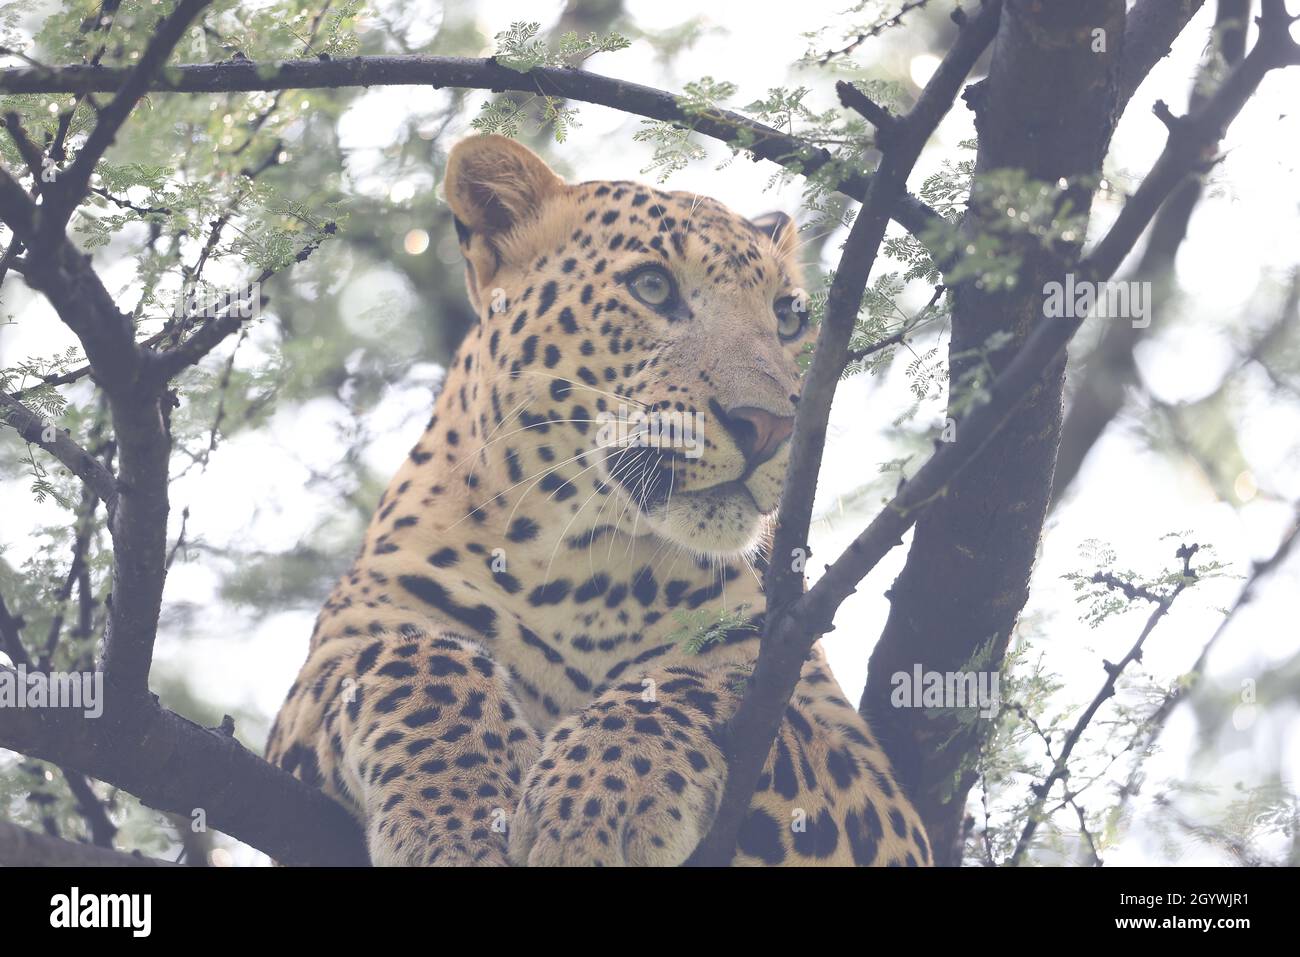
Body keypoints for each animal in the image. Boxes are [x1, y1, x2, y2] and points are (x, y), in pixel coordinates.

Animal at [269, 134, 930, 868]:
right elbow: (416, 662)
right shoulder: (333, 659)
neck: (591, 568)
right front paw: (456, 820)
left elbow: (700, 685)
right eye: (652, 286)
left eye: (789, 317)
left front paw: (593, 797)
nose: (768, 427)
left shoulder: (886, 800)